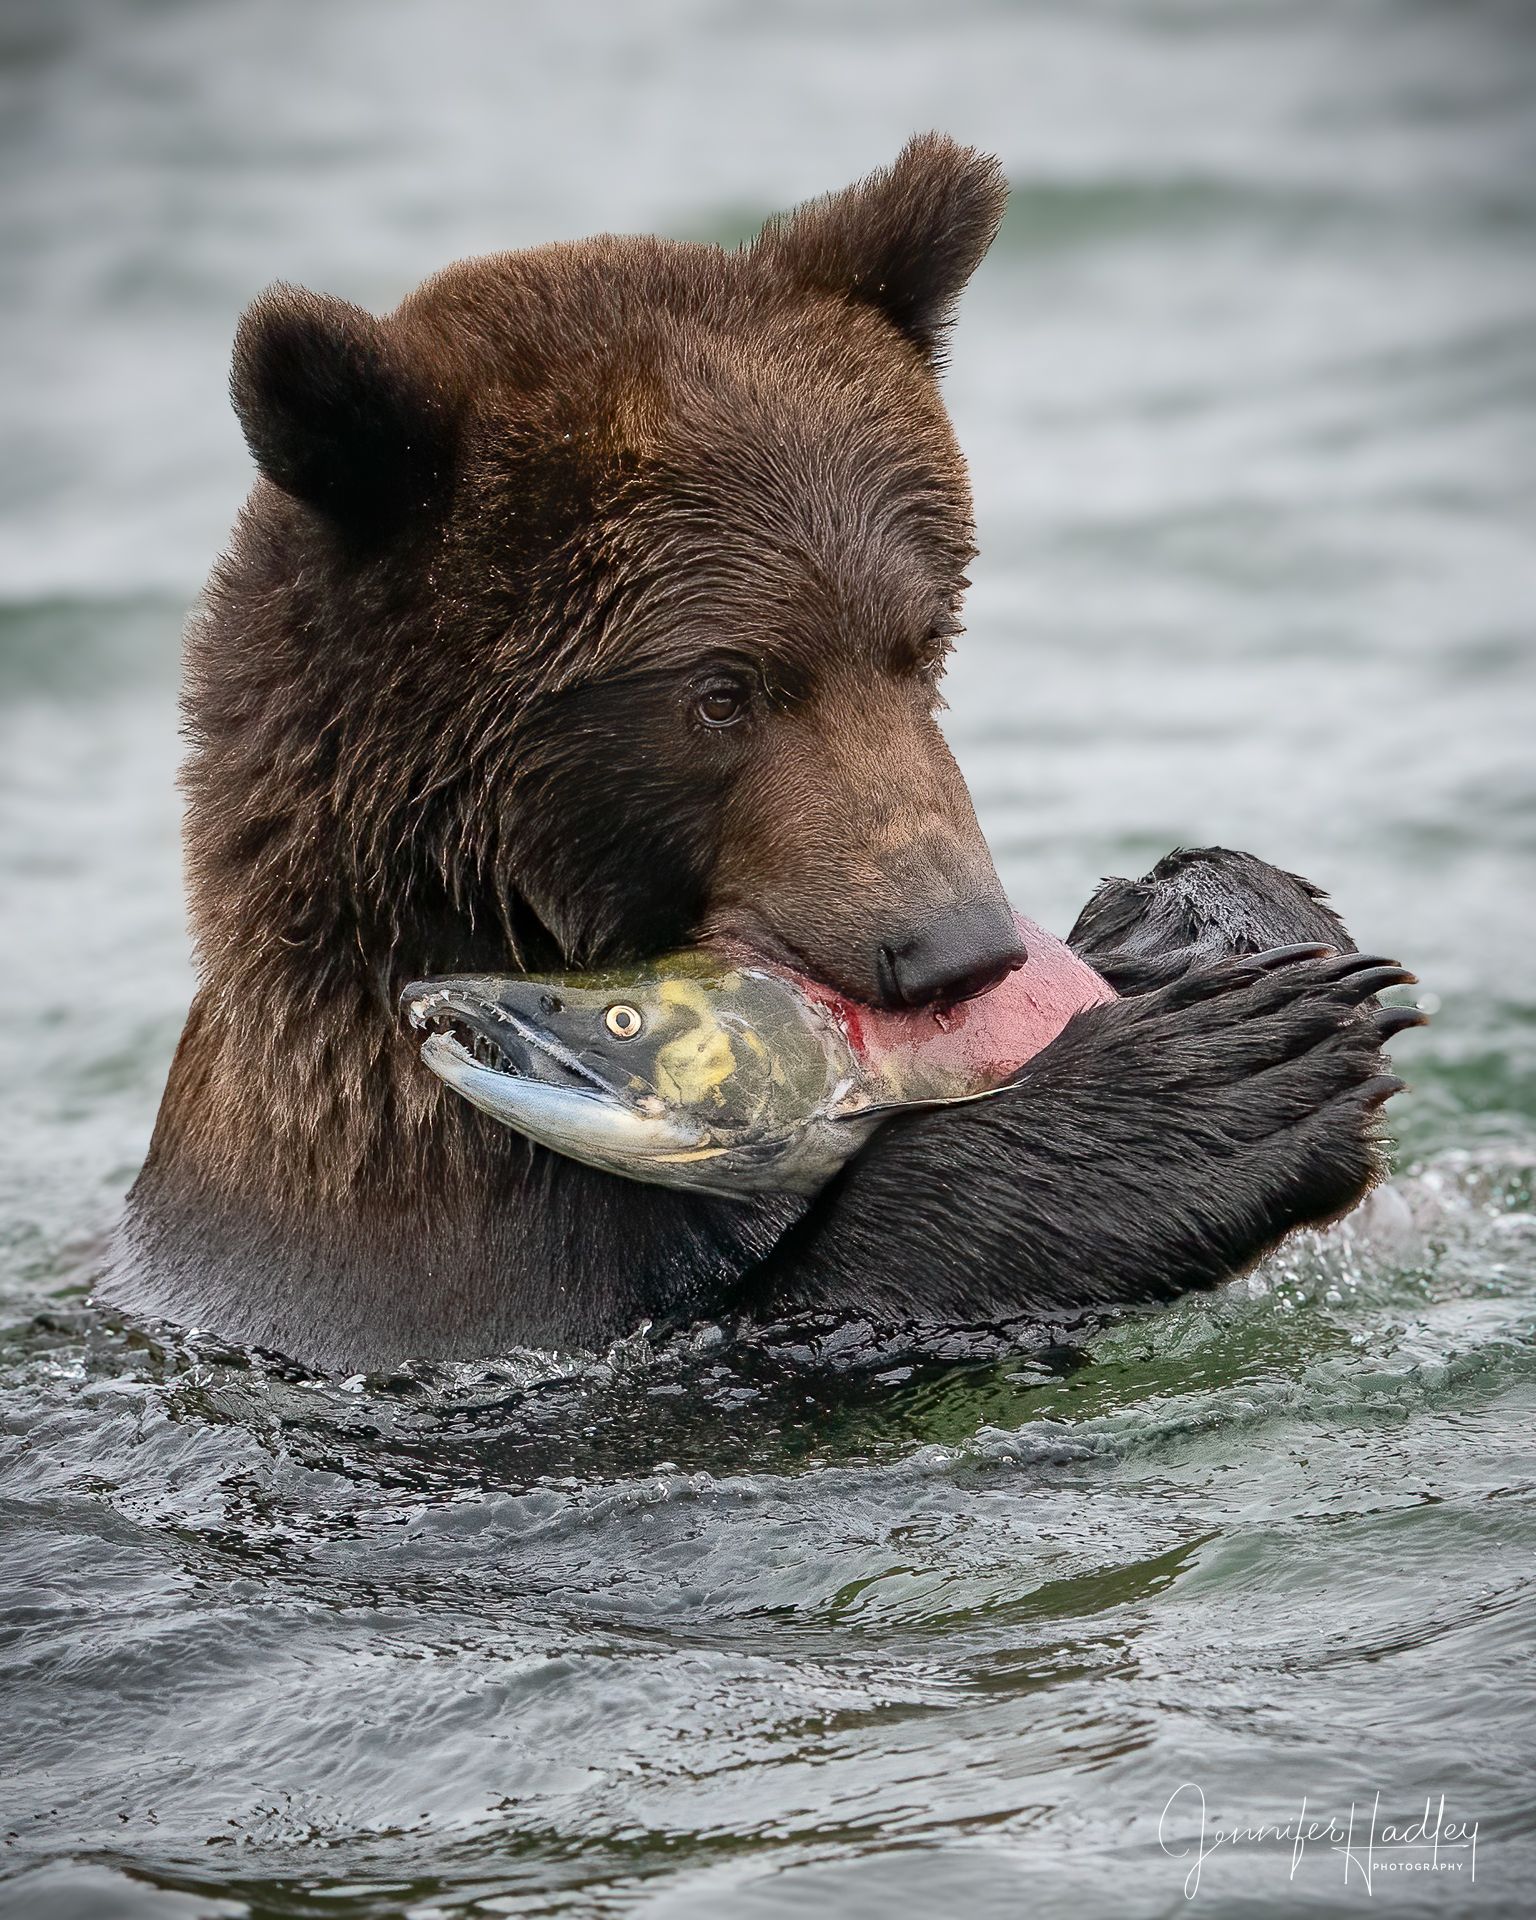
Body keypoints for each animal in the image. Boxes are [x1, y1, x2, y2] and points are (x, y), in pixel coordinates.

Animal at [105, 135, 1419, 1373]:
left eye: (921, 638)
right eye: (722, 690)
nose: (956, 947)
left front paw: (1196, 917)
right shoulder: (448, 1274)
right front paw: (1213, 1088)